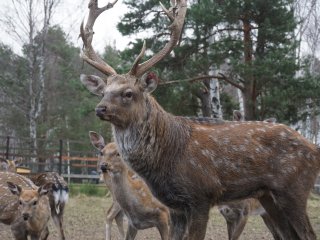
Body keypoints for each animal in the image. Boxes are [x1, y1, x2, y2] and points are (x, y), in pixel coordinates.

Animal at [78, 0, 320, 239]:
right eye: (103, 92)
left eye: (128, 93)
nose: (100, 108)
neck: (165, 156)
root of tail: (314, 148)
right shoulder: (175, 206)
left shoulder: (201, 196)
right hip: (268, 196)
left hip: (294, 189)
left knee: (308, 233)